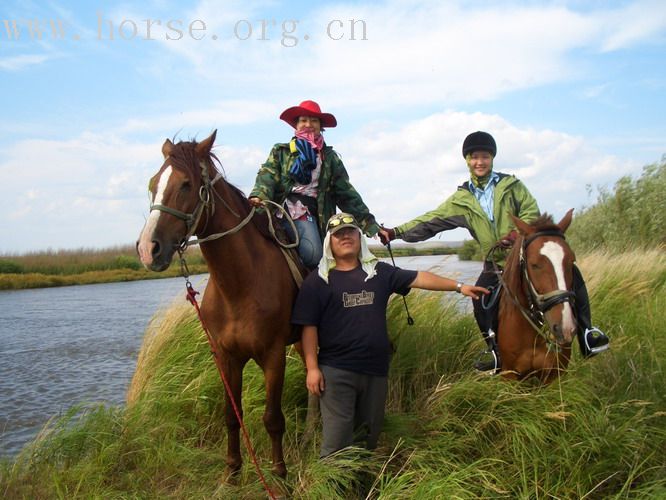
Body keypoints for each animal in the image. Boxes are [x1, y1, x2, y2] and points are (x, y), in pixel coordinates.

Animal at [136, 130, 296, 480]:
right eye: (153, 183)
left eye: (185, 184)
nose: (147, 249)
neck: (239, 287)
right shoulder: (226, 356)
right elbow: (231, 416)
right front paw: (232, 472)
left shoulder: (274, 355)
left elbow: (273, 419)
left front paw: (279, 474)